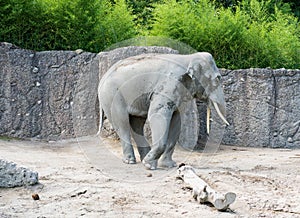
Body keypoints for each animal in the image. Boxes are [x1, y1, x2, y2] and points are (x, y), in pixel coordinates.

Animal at [97, 52, 229, 169]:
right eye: (218, 79)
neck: (188, 57)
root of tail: (101, 79)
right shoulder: (167, 85)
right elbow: (157, 115)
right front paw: (149, 165)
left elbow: (176, 121)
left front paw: (169, 165)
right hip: (111, 96)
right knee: (121, 123)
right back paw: (131, 161)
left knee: (137, 123)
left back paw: (144, 158)